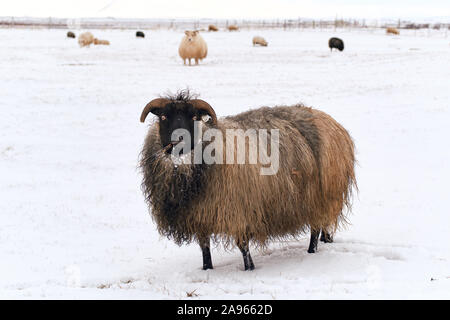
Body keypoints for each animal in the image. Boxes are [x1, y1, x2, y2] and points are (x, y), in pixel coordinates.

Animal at [139, 89, 356, 270]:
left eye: (194, 117)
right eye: (164, 116)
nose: (178, 142)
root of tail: (330, 120)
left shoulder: (239, 210)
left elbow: (242, 245)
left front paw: (249, 268)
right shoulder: (199, 215)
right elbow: (204, 248)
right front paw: (207, 269)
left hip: (319, 196)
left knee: (315, 228)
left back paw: (311, 251)